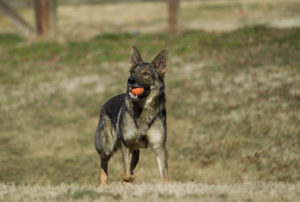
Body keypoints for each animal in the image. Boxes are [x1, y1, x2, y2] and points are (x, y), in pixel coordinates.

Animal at [94, 47, 168, 185]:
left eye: (146, 73)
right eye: (132, 72)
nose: (130, 80)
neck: (143, 109)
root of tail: (104, 105)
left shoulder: (159, 147)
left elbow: (164, 176)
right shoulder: (126, 145)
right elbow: (126, 173)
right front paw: (129, 177)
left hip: (136, 154)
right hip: (107, 148)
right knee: (104, 168)